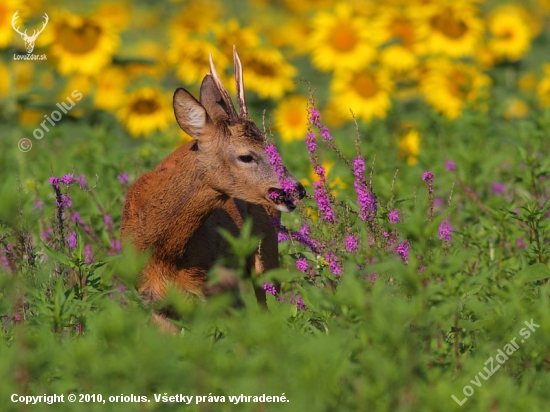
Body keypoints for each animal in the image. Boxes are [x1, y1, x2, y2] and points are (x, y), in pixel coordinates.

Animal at [121, 47, 308, 328]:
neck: (163, 253)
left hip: (264, 252)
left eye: (271, 148)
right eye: (246, 156)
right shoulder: (153, 299)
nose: (296, 189)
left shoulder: (213, 293)